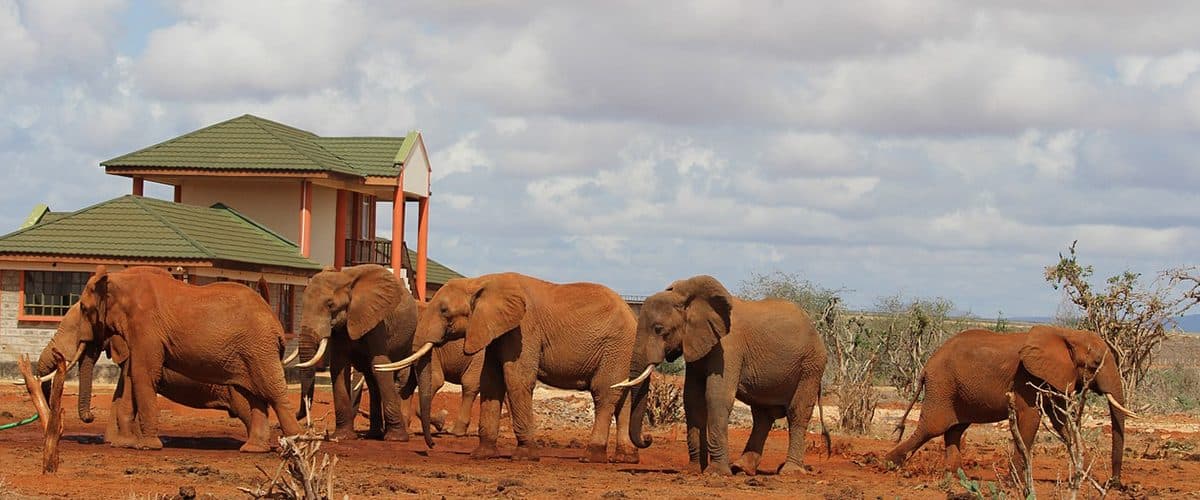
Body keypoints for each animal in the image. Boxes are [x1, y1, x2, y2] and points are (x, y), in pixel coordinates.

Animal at [75, 265, 302, 452]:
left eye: (84, 309)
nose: (90, 417)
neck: (119, 281)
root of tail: (273, 318)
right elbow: (134, 375)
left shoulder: (146, 327)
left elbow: (143, 375)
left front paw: (147, 447)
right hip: (249, 352)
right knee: (254, 395)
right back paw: (253, 449)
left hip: (259, 347)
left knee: (273, 392)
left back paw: (295, 447)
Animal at [292, 264, 442, 442]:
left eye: (330, 305)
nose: (297, 415)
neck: (345, 279)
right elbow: (338, 366)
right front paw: (343, 437)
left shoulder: (377, 320)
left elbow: (379, 364)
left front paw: (396, 439)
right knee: (372, 380)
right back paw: (374, 434)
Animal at [378, 272, 639, 463]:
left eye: (444, 311)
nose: (431, 446)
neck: (479, 282)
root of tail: (632, 312)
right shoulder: (494, 331)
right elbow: (491, 382)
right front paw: (481, 455)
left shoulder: (524, 329)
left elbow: (516, 380)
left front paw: (524, 456)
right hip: (622, 350)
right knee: (623, 396)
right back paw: (625, 458)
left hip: (616, 346)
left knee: (604, 393)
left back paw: (592, 456)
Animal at [616, 275, 829, 476]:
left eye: (659, 329)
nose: (648, 438)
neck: (686, 298)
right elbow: (692, 399)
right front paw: (694, 470)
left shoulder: (728, 348)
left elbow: (716, 397)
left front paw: (716, 473)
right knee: (762, 416)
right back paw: (742, 468)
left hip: (811, 366)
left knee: (797, 412)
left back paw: (790, 471)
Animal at [884, 326, 1138, 485]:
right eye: (1095, 364)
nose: (1114, 483)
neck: (1066, 333)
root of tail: (926, 366)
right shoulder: (1026, 378)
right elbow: (1031, 419)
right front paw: (1015, 482)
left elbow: (1060, 421)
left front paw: (1084, 475)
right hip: (942, 386)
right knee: (932, 427)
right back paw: (888, 464)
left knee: (954, 429)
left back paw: (954, 476)